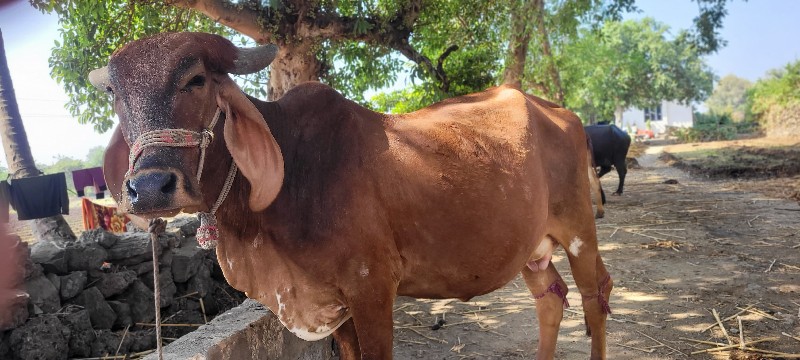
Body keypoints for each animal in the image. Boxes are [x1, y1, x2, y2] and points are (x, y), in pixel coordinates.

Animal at [90, 32, 608, 358]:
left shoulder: (371, 288)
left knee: (594, 294)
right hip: (530, 248)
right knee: (551, 298)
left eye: (195, 79)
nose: (149, 188)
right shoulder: (331, 304)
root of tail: (558, 111)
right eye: (114, 93)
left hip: (578, 227)